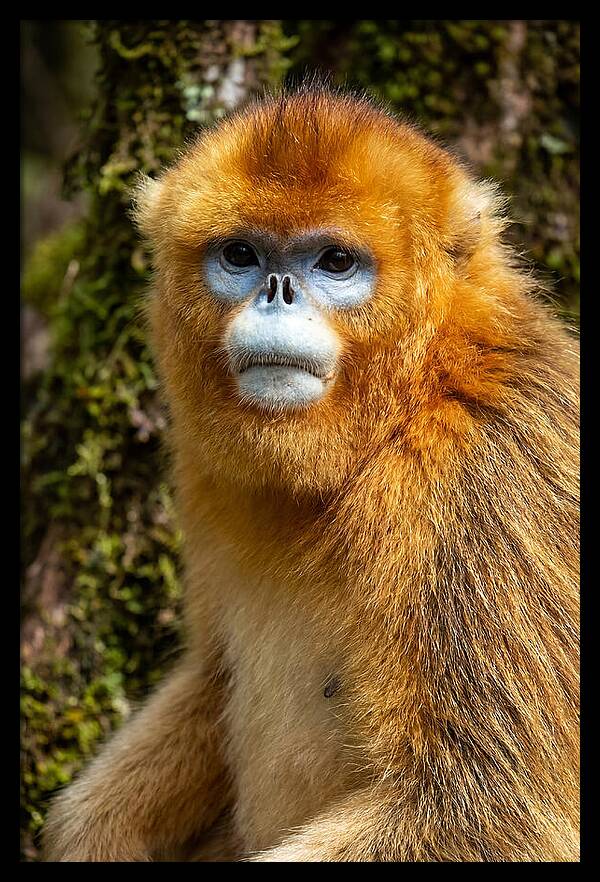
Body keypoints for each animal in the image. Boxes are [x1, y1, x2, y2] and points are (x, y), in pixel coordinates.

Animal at [43, 86, 579, 862]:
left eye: (334, 262)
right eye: (241, 254)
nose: (277, 290)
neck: (407, 407)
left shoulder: (488, 475)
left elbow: (491, 811)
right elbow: (211, 677)